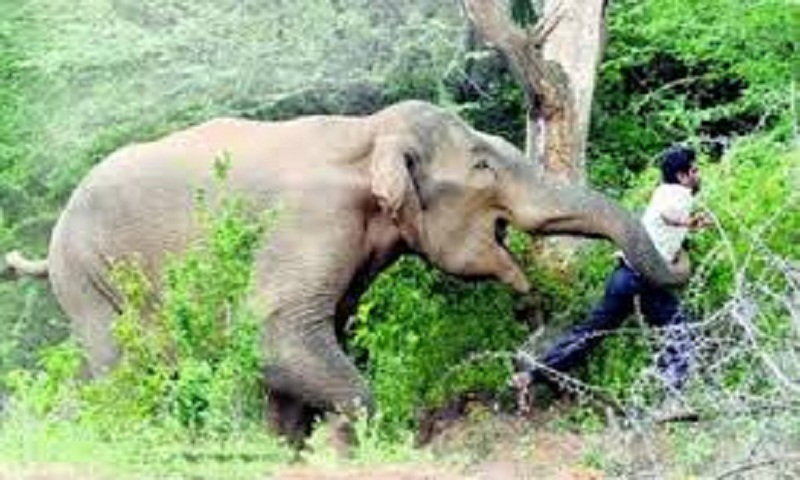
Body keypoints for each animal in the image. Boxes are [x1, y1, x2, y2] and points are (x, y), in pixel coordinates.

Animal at [4, 100, 686, 442]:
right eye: (484, 166)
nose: (531, 311)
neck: (368, 134)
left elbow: (307, 338)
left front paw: (290, 448)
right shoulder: (311, 221)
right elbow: (278, 334)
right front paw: (344, 443)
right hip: (87, 277)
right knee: (120, 367)